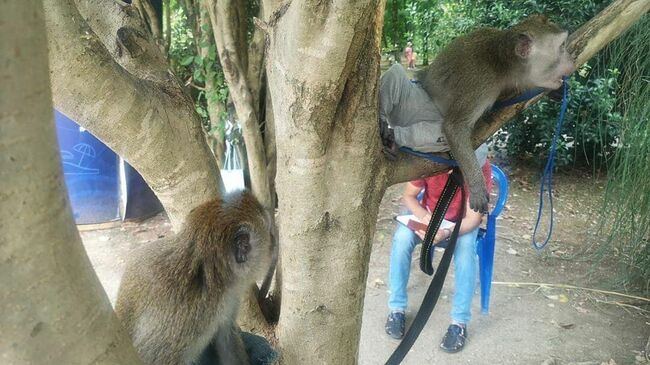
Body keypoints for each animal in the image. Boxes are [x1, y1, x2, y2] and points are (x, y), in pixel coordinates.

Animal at [380, 14, 572, 213]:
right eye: (561, 46)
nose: (571, 61)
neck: (500, 61)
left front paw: (556, 92)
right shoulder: (482, 84)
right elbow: (454, 126)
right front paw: (476, 186)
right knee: (397, 77)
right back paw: (388, 131)